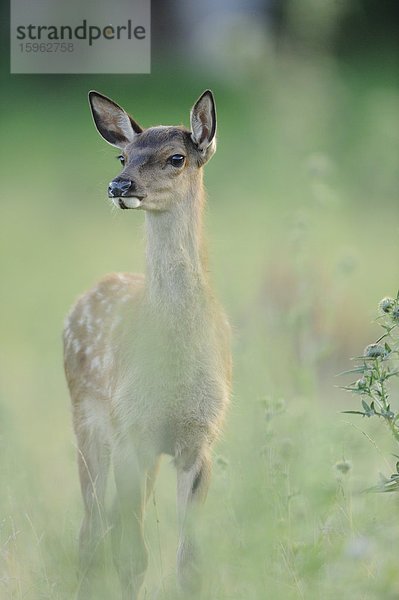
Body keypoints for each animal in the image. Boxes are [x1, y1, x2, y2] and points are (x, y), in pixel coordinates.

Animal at [62, 90, 231, 600]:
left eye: (177, 157)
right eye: (123, 155)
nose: (119, 185)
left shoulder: (199, 440)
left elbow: (189, 561)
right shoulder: (130, 430)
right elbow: (132, 557)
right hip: (89, 420)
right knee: (91, 532)